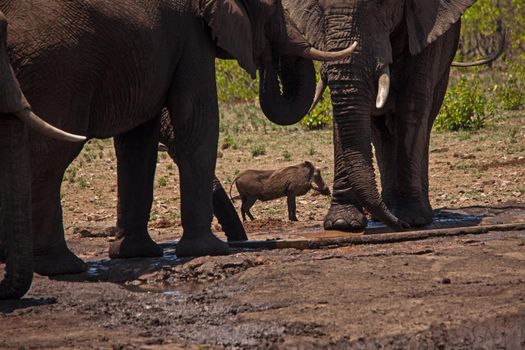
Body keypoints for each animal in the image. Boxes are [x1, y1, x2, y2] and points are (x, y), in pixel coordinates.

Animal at [282, 0, 492, 232]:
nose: (401, 226)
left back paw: (414, 213)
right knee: (381, 131)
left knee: (424, 120)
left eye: (380, 3)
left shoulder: (425, 31)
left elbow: (413, 104)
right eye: (318, 5)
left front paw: (412, 219)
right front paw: (342, 223)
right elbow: (343, 115)